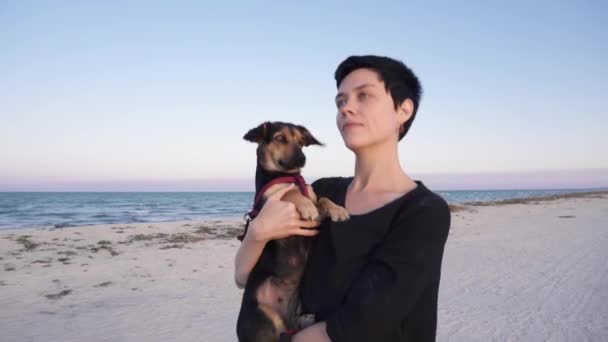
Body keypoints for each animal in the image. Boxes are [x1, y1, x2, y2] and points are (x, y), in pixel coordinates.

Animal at [239, 122, 352, 342]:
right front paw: (307, 207)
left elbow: (322, 199)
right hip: (266, 318)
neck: (288, 176)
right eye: (280, 138)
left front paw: (338, 210)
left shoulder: (315, 200)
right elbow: (291, 193)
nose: (302, 159)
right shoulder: (271, 200)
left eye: (301, 142)